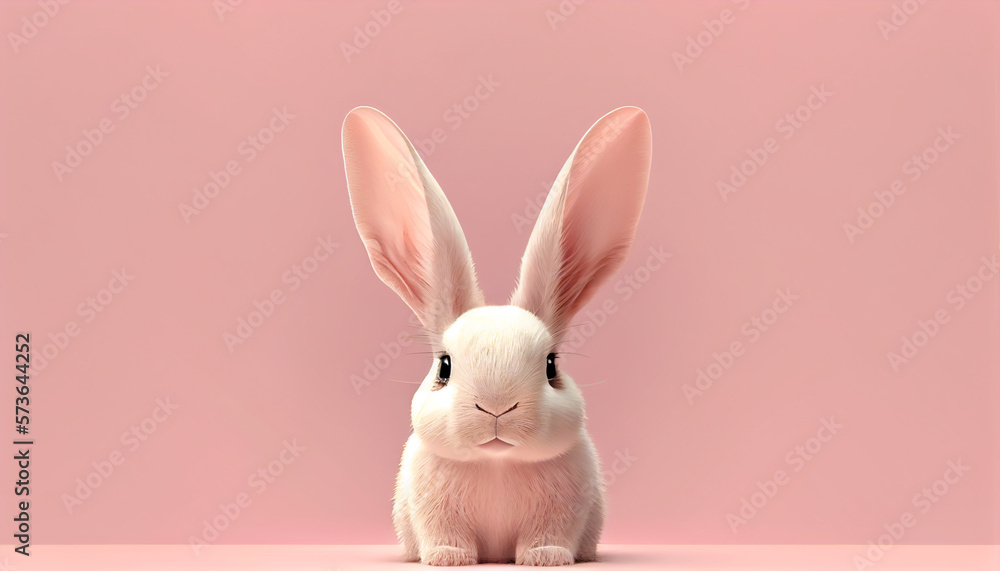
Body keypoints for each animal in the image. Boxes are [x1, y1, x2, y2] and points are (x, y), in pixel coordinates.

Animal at [341, 105, 651, 566]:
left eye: (551, 366)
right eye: (444, 367)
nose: (496, 407)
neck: (497, 463)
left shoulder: (562, 512)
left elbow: (547, 535)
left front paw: (547, 558)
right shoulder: (433, 512)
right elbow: (445, 534)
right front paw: (448, 558)